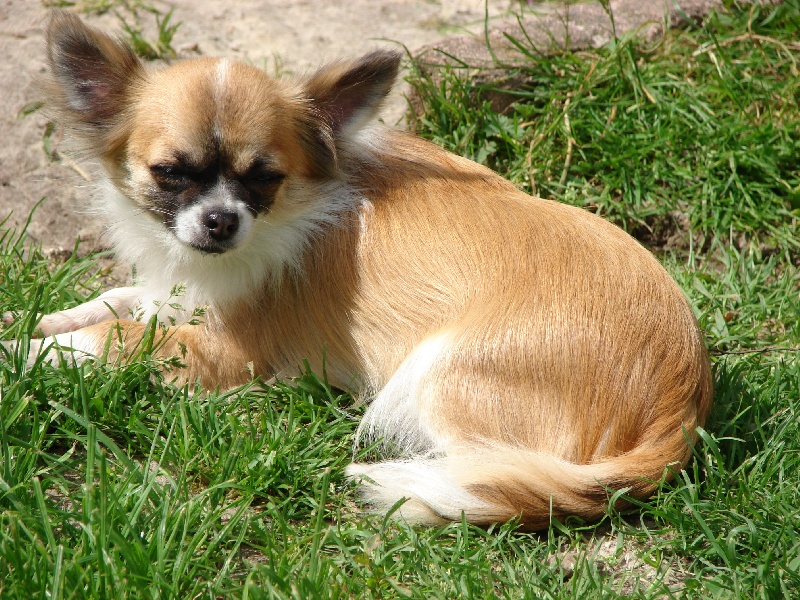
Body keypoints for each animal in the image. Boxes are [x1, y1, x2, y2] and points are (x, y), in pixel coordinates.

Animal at [4, 10, 712, 528]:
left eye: (264, 178)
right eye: (171, 173)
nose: (221, 221)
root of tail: (678, 407)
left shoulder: (220, 352)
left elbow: (113, 338)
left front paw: (25, 353)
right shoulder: (180, 292)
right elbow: (115, 302)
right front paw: (32, 319)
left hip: (441, 374)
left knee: (495, 467)